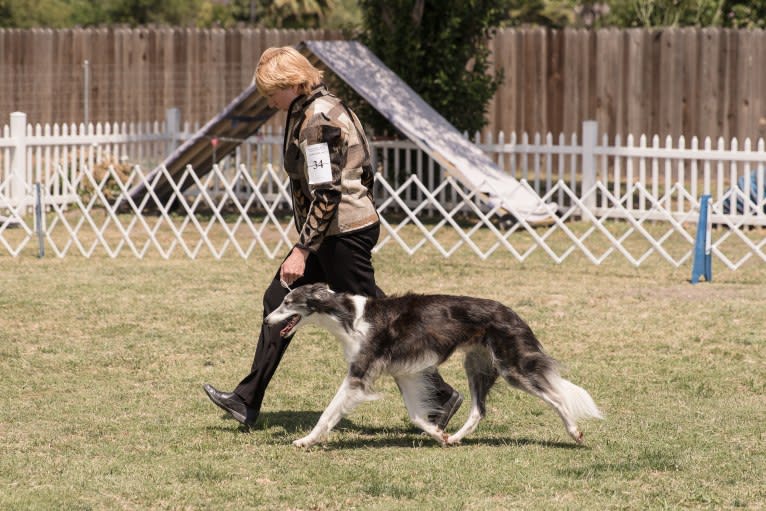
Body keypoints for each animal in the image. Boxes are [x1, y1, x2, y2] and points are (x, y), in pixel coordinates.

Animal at [268, 284, 604, 448]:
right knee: (478, 410)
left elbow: (328, 413)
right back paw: (454, 439)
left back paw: (575, 432)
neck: (348, 315)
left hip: (514, 367)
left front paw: (305, 440)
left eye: (287, 302)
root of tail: (512, 313)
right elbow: (417, 415)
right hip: (477, 365)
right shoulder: (406, 373)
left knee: (557, 395)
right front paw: (438, 434)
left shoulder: (359, 374)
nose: (266, 319)